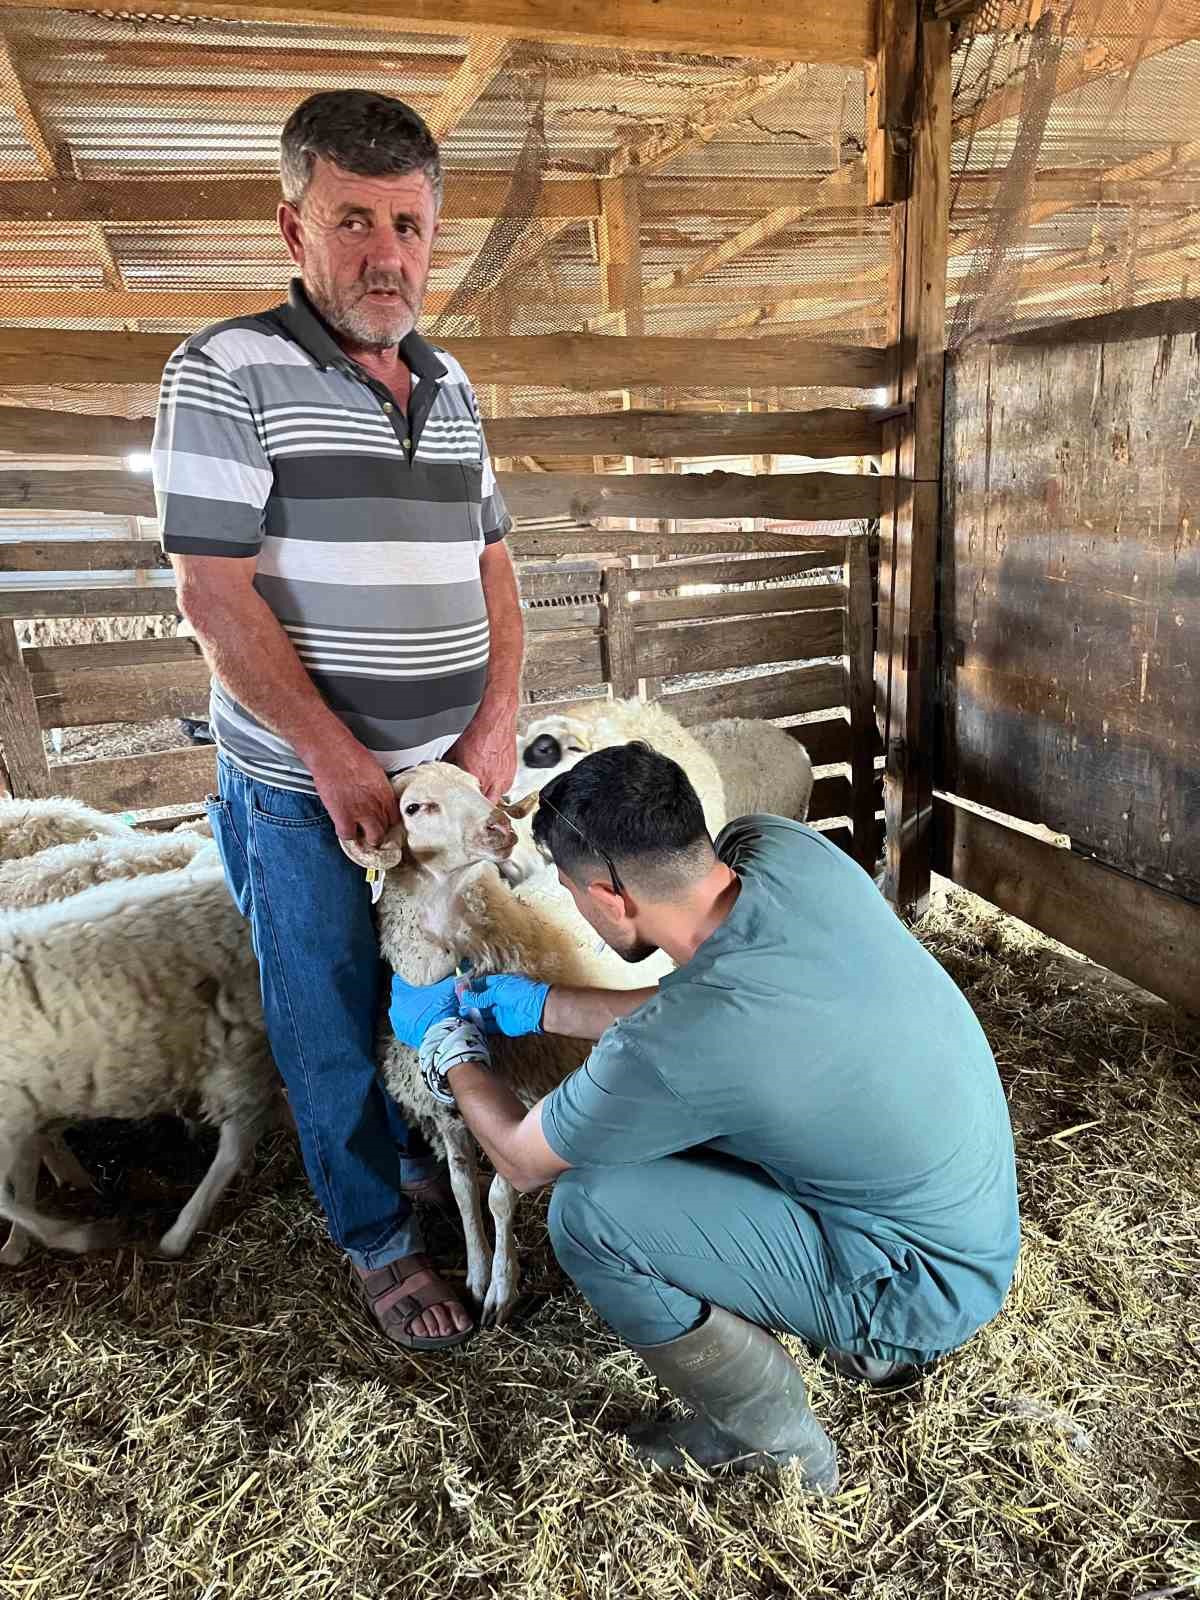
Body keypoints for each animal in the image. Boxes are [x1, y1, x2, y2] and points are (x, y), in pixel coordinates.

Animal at [0, 870, 275, 1267]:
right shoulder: (26, 1106)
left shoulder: (13, 1114)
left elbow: (10, 1194)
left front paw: (77, 1235)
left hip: (236, 1048)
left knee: (236, 1141)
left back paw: (178, 1234)